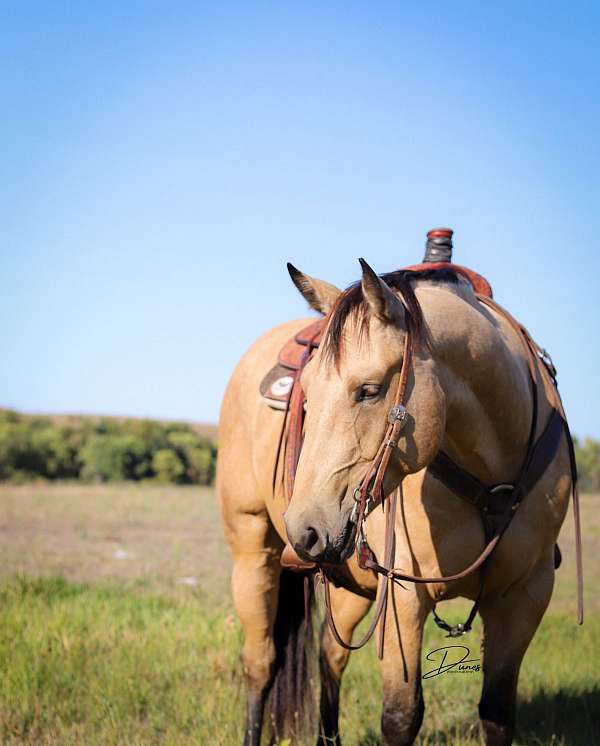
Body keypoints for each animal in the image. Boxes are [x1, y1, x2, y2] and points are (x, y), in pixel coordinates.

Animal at [218, 230, 584, 740]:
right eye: (306, 395)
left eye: (369, 390)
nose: (304, 529)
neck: (493, 480)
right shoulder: (403, 596)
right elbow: (401, 715)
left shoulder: (525, 595)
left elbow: (496, 714)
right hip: (254, 550)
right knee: (260, 663)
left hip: (344, 579)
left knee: (330, 657)